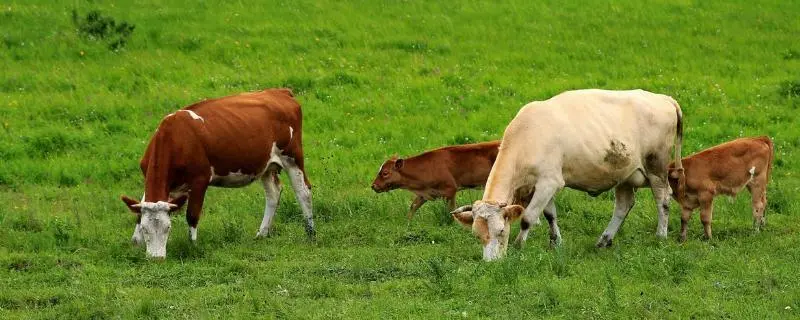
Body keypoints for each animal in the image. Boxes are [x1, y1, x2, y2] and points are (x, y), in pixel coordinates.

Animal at [120, 89, 314, 258]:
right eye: (145, 229)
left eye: (168, 228)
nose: (156, 258)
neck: (174, 138)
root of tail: (280, 92)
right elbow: (139, 211)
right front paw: (135, 243)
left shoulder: (200, 180)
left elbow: (192, 215)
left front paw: (193, 246)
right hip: (265, 165)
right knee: (273, 194)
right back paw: (262, 233)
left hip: (292, 157)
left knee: (303, 192)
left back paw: (310, 233)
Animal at [370, 141, 500, 221]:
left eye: (385, 173)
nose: (373, 186)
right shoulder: (424, 194)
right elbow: (413, 206)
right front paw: (407, 222)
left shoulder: (450, 190)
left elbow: (451, 209)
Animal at [454, 89, 684, 262]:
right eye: (477, 235)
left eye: (501, 231)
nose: (491, 262)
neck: (527, 136)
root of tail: (664, 98)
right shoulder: (542, 185)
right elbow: (550, 215)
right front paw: (556, 242)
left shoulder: (549, 182)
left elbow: (528, 218)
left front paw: (519, 246)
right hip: (625, 174)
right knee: (623, 205)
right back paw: (604, 240)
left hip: (656, 168)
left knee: (663, 199)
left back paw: (661, 235)